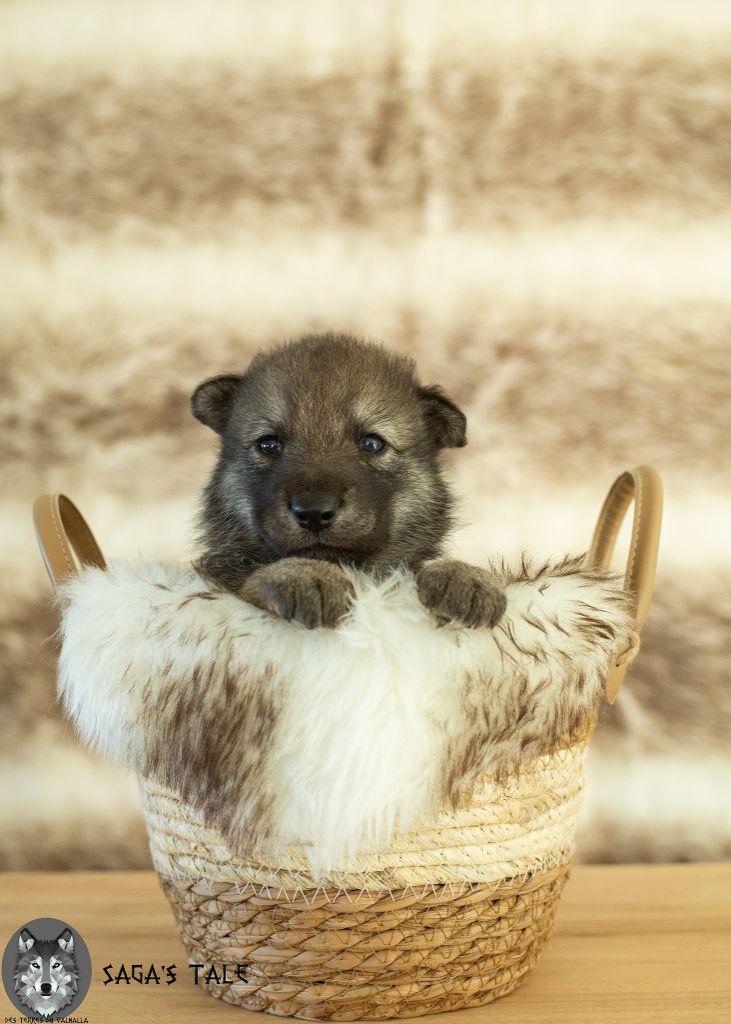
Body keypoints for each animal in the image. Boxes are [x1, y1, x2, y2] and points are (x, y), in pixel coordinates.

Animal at [191, 332, 507, 630]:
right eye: (268, 445)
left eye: (372, 444)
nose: (314, 512)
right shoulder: (221, 574)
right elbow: (252, 575)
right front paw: (303, 574)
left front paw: (466, 576)